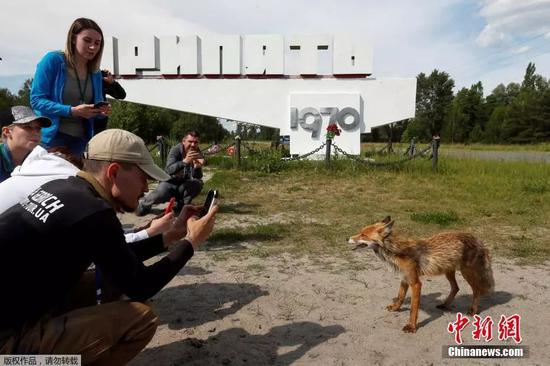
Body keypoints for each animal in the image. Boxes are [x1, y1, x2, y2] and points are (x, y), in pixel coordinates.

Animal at [350, 216, 496, 334]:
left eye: (363, 235)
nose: (348, 238)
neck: (397, 251)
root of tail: (476, 237)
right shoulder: (405, 277)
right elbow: (400, 296)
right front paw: (396, 308)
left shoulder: (416, 283)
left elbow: (413, 309)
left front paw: (411, 326)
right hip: (448, 271)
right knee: (456, 288)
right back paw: (445, 305)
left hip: (466, 272)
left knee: (477, 290)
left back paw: (472, 309)